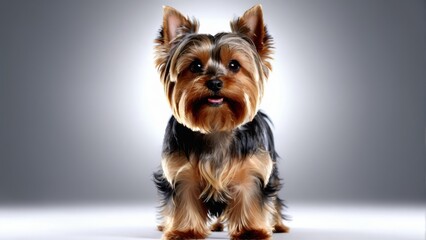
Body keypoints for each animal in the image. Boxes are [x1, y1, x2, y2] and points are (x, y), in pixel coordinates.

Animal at [153, 4, 290, 239]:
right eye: (195, 66)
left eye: (234, 65)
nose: (215, 82)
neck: (216, 126)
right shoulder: (181, 171)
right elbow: (185, 200)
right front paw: (185, 230)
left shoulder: (251, 170)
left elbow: (249, 197)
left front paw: (250, 230)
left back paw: (277, 224)